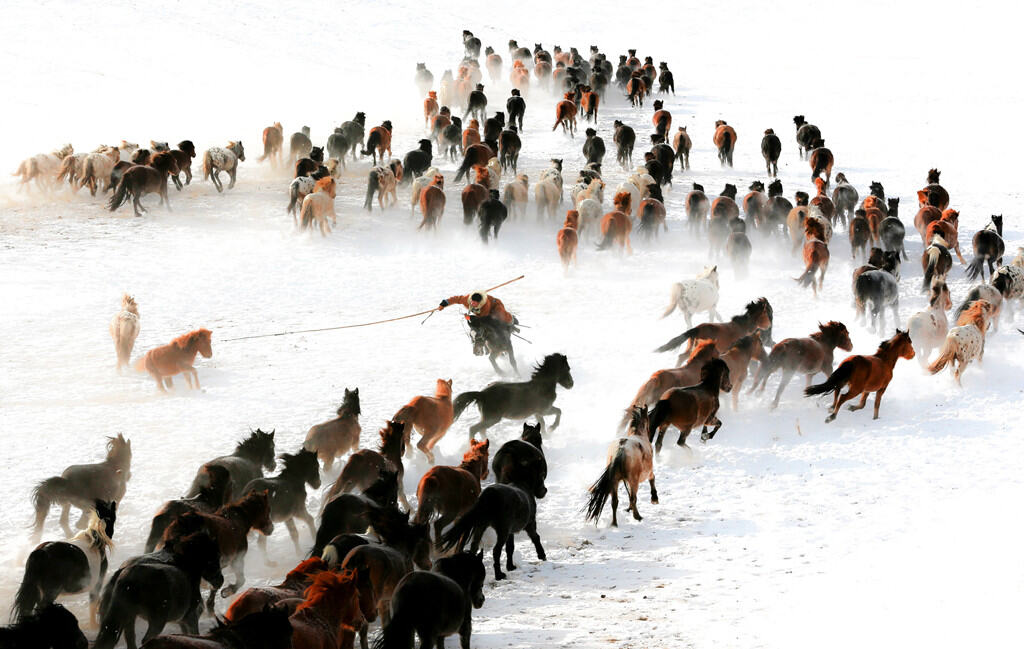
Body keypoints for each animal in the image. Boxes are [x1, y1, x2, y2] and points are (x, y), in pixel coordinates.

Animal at [93, 532, 224, 649]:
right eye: (216, 556)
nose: (220, 581)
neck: (184, 564)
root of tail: (126, 573)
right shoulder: (190, 618)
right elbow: (194, 635)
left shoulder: (182, 621)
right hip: (157, 621)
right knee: (146, 639)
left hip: (130, 618)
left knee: (131, 640)